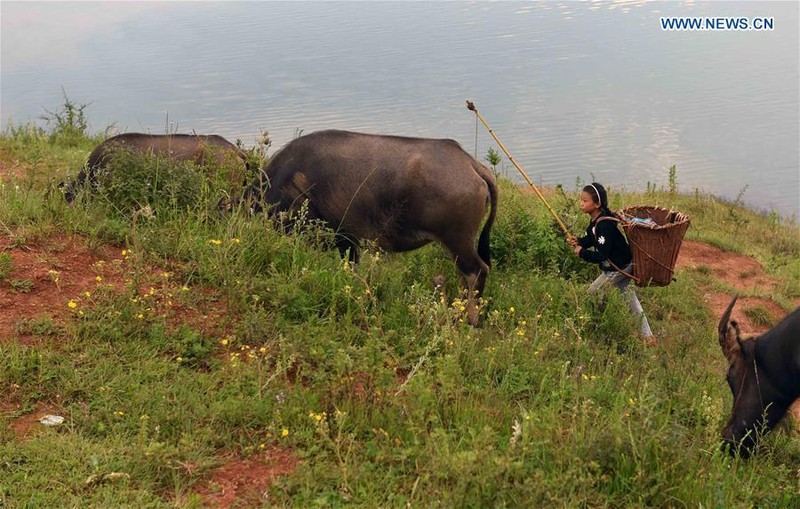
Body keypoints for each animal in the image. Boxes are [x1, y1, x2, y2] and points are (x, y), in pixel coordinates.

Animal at [241, 129, 496, 324]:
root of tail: (471, 165)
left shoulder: (342, 238)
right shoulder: (348, 241)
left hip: (457, 240)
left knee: (476, 271)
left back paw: (470, 318)